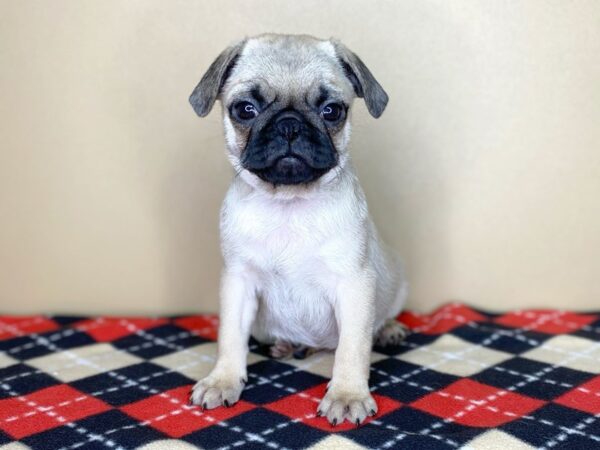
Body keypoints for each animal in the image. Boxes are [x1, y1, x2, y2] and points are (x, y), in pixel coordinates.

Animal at [190, 33, 410, 424]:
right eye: (245, 109)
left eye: (332, 111)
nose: (289, 124)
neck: (288, 206)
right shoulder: (238, 282)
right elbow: (229, 337)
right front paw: (223, 380)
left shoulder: (354, 284)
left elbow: (353, 347)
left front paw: (347, 394)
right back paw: (286, 343)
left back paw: (388, 330)